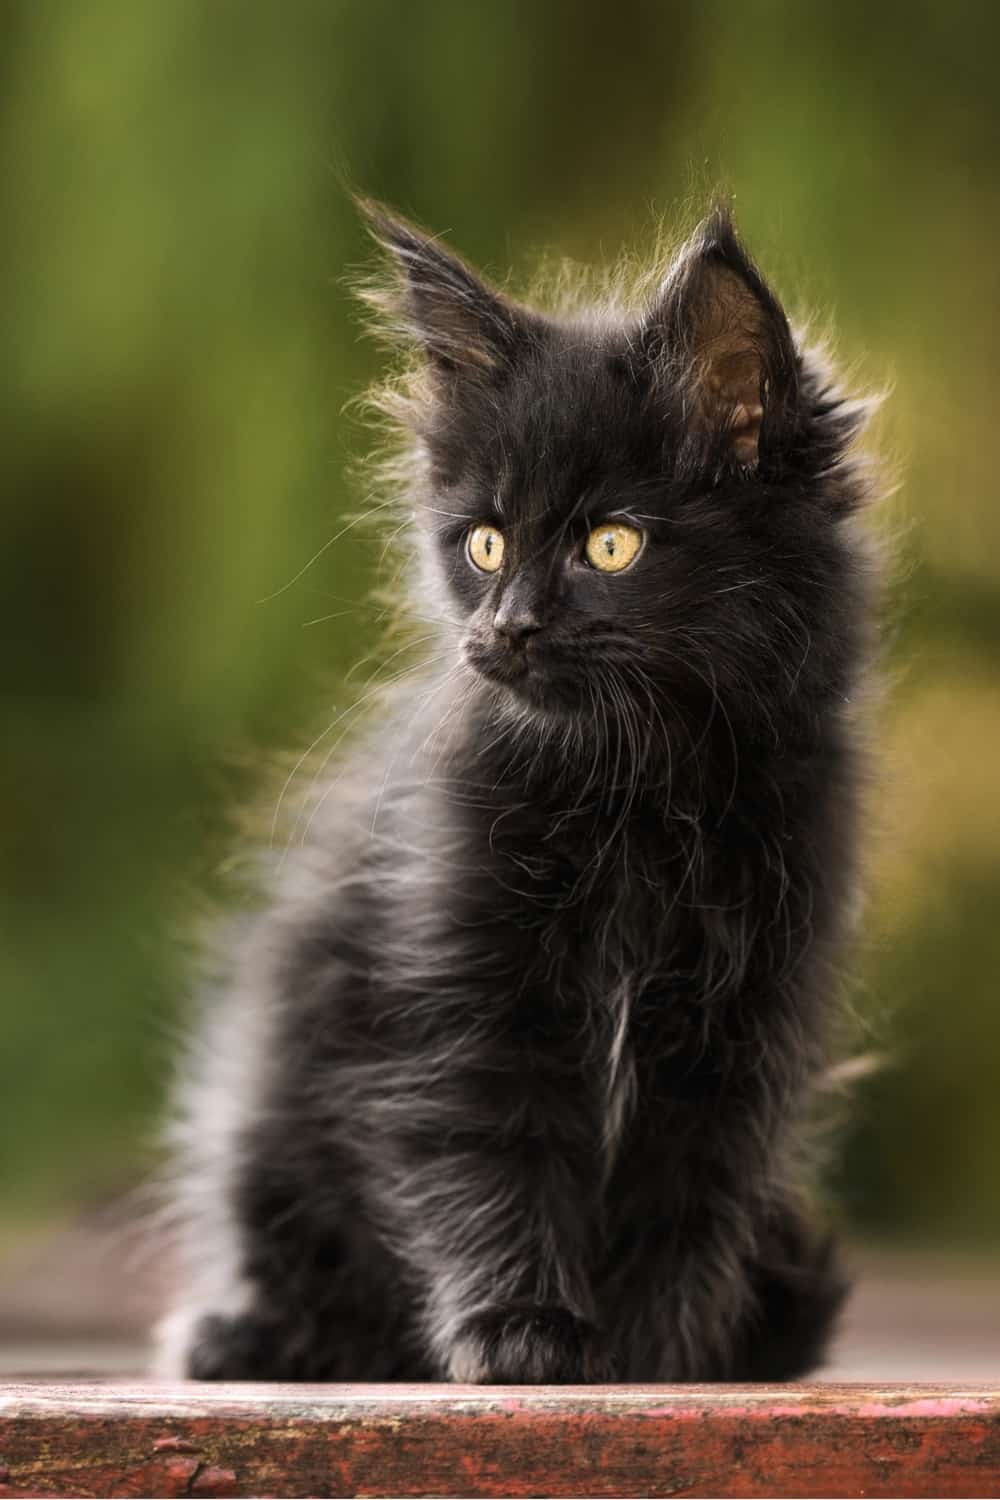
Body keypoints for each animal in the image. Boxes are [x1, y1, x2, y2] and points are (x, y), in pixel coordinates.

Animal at [154, 199, 875, 1380]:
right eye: (484, 544)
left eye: (611, 545)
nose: (505, 631)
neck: (642, 792)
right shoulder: (466, 985)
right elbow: (494, 1160)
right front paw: (521, 1334)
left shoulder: (743, 1016)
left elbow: (687, 1194)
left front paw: (654, 1358)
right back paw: (248, 1336)